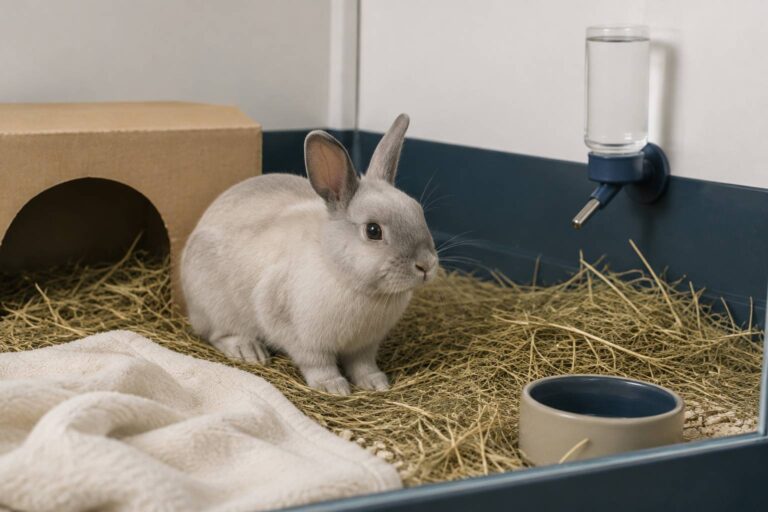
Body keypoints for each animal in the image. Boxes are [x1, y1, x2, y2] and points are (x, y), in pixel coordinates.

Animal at [181, 114, 438, 395]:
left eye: (418, 211)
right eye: (373, 230)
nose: (426, 265)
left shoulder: (364, 346)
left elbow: (363, 365)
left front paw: (376, 383)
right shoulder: (297, 333)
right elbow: (317, 363)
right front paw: (334, 387)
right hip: (217, 306)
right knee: (217, 334)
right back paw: (249, 351)